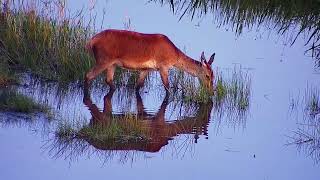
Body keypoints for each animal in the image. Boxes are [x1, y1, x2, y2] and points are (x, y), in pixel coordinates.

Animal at [85, 29, 215, 93]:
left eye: (214, 76)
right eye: (207, 76)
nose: (210, 91)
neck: (174, 56)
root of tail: (91, 41)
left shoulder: (146, 69)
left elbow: (138, 86)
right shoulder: (163, 67)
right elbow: (168, 87)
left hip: (112, 64)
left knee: (108, 80)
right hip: (103, 60)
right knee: (88, 76)